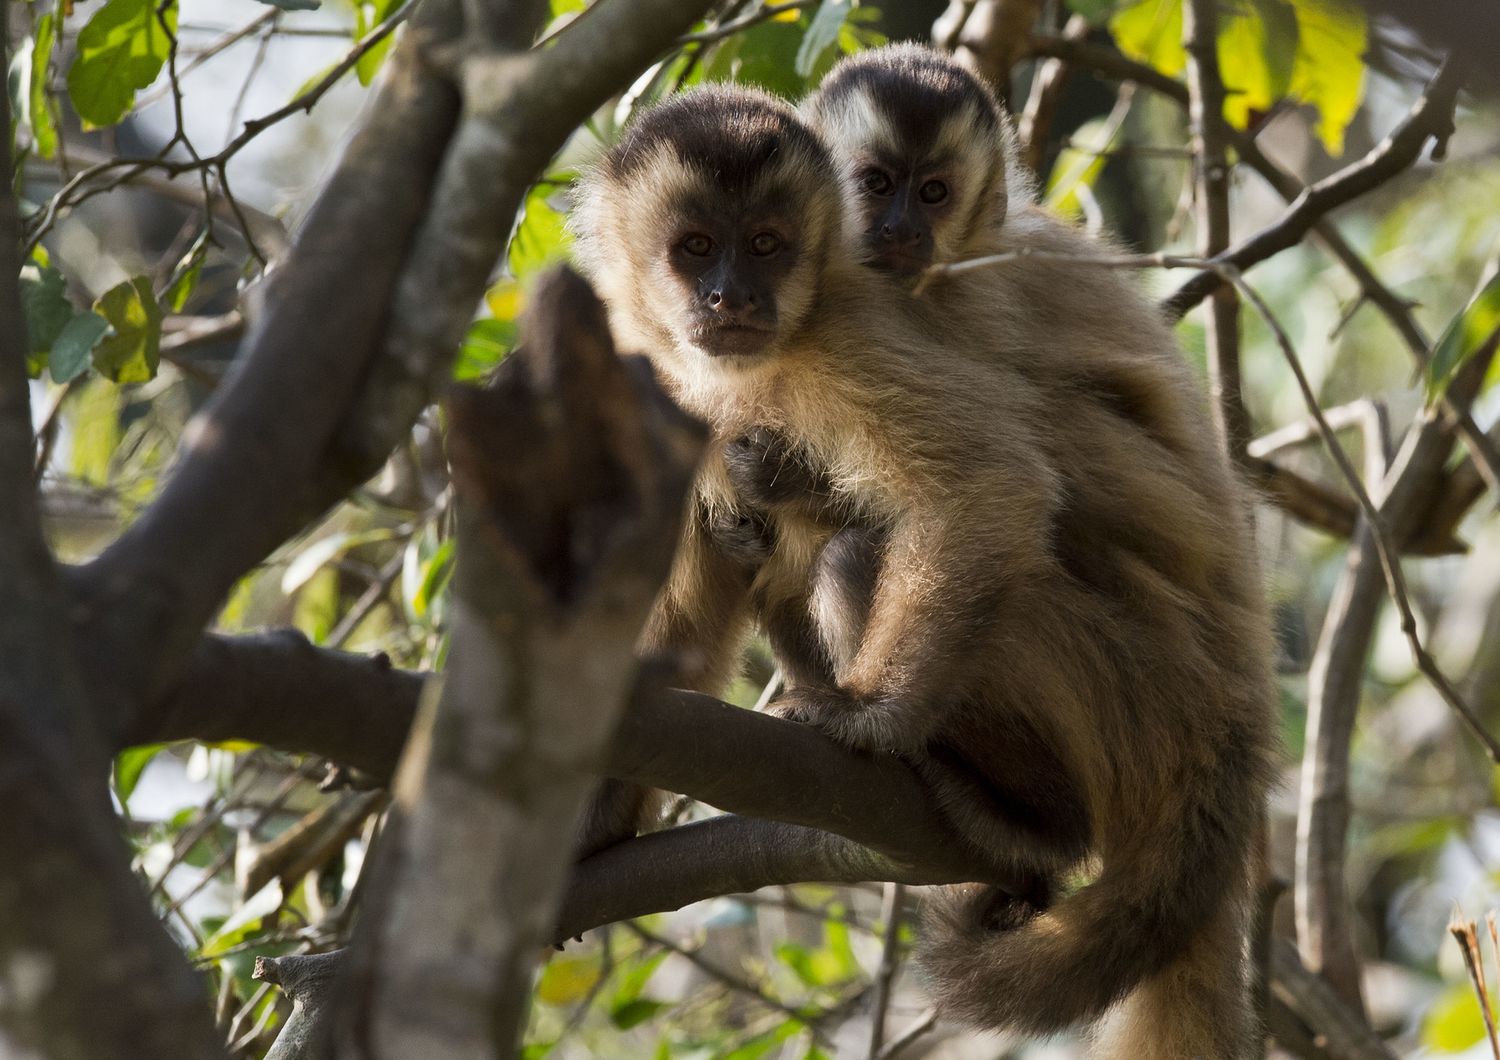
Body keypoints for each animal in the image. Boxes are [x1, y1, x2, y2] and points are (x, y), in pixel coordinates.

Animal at [567, 85, 1272, 1060]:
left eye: (767, 244)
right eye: (697, 247)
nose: (731, 296)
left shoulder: (850, 333)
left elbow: (990, 483)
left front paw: (872, 715)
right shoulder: (652, 378)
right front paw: (593, 818)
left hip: (1142, 689)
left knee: (865, 548)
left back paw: (1031, 815)